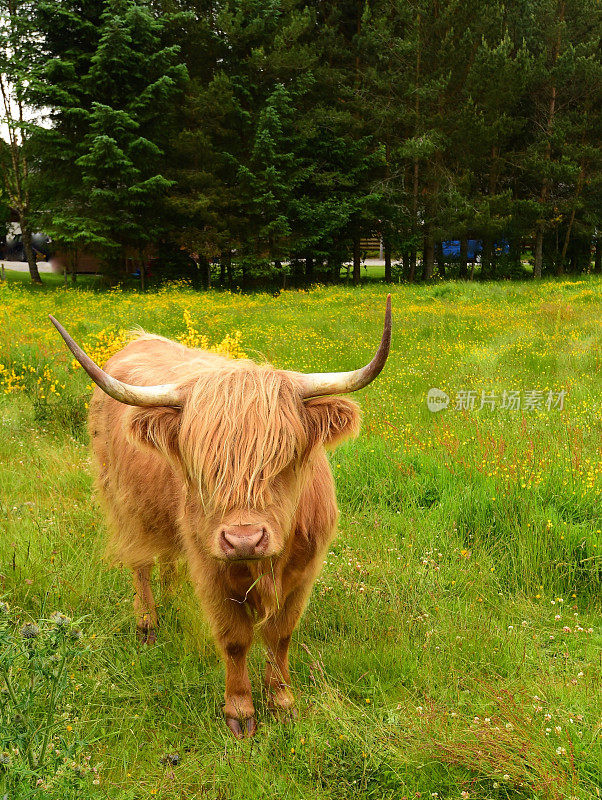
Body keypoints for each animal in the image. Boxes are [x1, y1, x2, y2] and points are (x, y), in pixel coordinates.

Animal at [50, 298, 390, 736]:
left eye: (283, 458)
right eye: (204, 466)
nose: (244, 539)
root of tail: (140, 339)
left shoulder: (305, 571)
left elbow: (281, 636)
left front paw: (283, 703)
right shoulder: (213, 571)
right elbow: (235, 640)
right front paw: (241, 711)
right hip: (123, 502)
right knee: (140, 563)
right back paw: (148, 624)